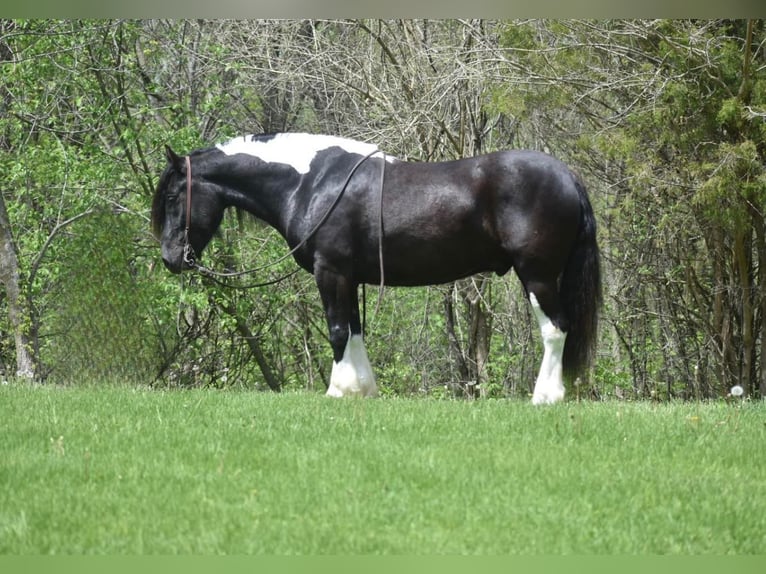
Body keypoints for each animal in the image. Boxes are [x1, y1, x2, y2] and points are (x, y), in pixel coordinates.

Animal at [150, 135, 604, 404]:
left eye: (172, 196)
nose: (171, 259)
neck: (310, 182)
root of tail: (568, 176)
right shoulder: (349, 277)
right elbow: (353, 329)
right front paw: (362, 390)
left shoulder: (330, 271)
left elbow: (336, 331)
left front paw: (337, 391)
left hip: (537, 275)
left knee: (556, 328)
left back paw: (546, 396)